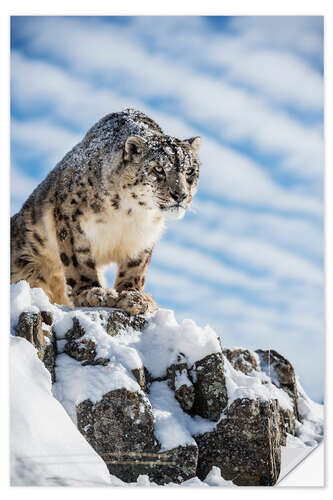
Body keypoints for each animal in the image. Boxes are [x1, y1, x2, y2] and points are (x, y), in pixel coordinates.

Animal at [11, 109, 200, 314]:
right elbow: (79, 261)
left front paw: (134, 296)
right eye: (158, 169)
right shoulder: (71, 220)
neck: (129, 214)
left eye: (190, 171)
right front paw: (93, 293)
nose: (181, 195)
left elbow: (136, 267)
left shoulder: (143, 237)